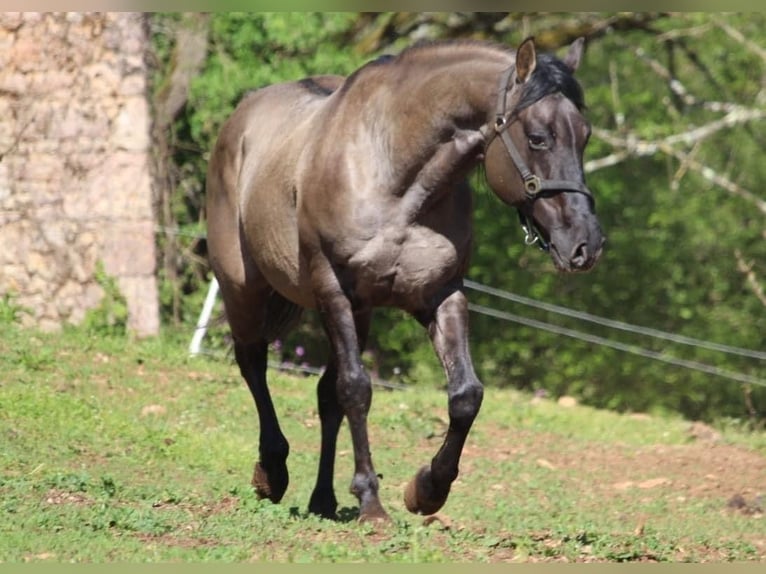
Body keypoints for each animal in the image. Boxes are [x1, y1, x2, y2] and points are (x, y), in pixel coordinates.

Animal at [204, 35, 608, 520]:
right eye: (538, 138)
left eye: (585, 136)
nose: (586, 244)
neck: (393, 179)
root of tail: (240, 119)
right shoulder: (332, 290)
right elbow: (357, 389)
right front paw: (372, 503)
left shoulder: (440, 296)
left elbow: (465, 395)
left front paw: (427, 489)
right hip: (243, 289)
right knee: (254, 365)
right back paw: (272, 472)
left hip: (358, 314)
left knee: (324, 395)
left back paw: (323, 499)